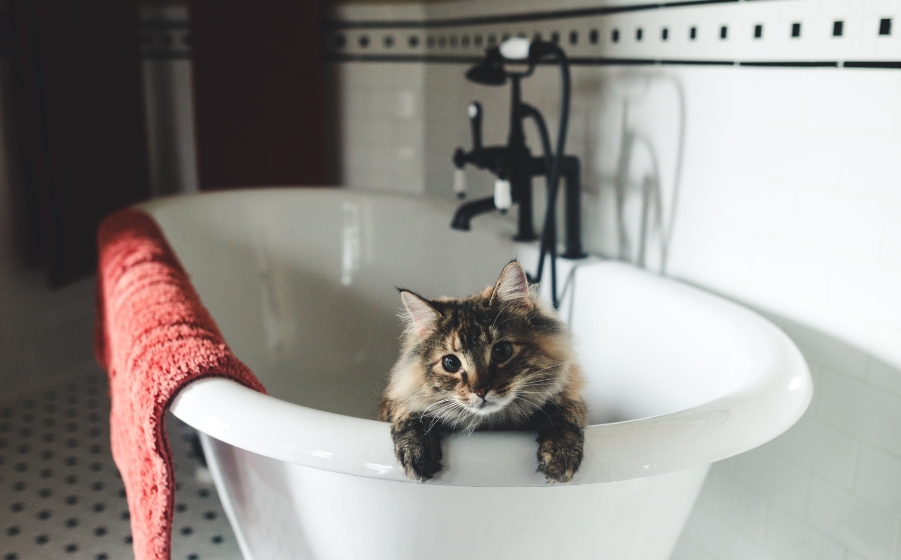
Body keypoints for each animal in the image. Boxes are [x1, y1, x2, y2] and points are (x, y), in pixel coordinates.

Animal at [376, 260, 588, 484]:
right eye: (451, 363)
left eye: (501, 351)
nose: (480, 390)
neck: (490, 424)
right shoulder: (397, 400)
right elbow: (407, 413)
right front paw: (416, 454)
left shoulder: (570, 393)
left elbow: (566, 412)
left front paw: (560, 456)